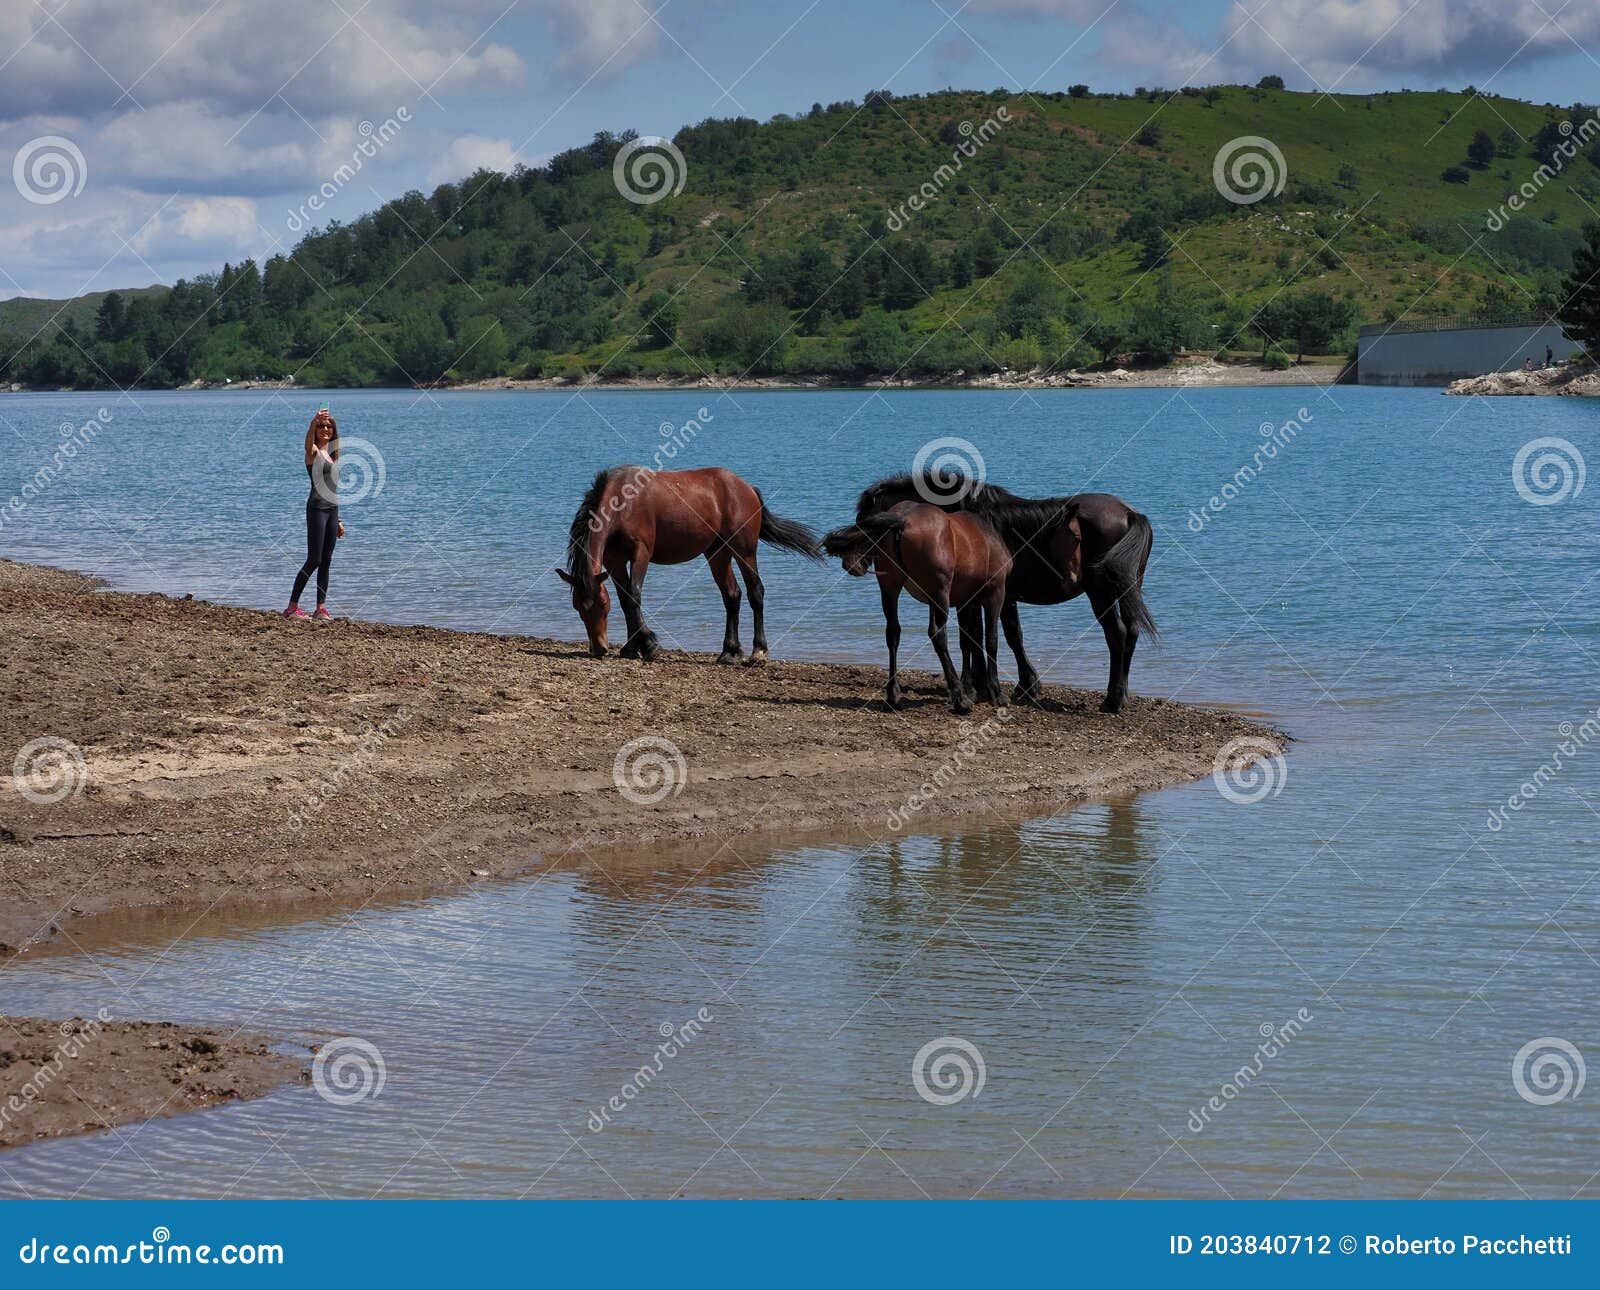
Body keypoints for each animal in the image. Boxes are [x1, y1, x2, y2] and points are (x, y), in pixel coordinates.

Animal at [556, 467, 825, 665]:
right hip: (717, 553)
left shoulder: (641, 554)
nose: (599, 647)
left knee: (755, 591)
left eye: (602, 605)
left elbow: (634, 595)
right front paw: (632, 647)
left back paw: (758, 652)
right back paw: (729, 652)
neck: (624, 503)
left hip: (744, 550)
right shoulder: (614, 562)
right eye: (578, 607)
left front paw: (650, 645)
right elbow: (625, 601)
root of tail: (747, 488)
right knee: (732, 595)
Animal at [825, 502, 1011, 717]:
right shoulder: (994, 593)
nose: (850, 564)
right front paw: (996, 693)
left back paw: (894, 696)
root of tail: (902, 519)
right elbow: (991, 640)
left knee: (893, 633)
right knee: (938, 634)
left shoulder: (966, 601)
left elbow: (968, 640)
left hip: (891, 589)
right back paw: (959, 698)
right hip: (940, 593)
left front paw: (971, 689)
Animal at [857, 473, 1158, 717]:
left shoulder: (981, 597)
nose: (858, 564)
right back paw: (1122, 693)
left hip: (1101, 594)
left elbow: (976, 637)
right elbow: (1008, 635)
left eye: (864, 521)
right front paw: (1019, 684)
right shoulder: (995, 597)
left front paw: (979, 686)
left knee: (1116, 634)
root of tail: (1130, 514)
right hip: (1127, 589)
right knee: (1131, 631)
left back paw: (1112, 699)